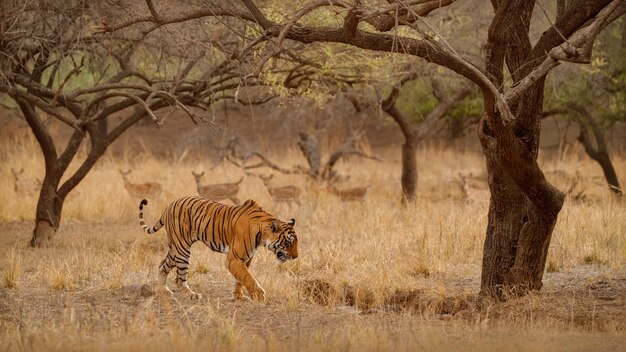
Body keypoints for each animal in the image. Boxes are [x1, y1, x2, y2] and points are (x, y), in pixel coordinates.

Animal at [138, 197, 298, 302]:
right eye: (288, 242)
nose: (296, 256)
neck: (262, 236)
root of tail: (170, 205)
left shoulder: (245, 259)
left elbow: (241, 278)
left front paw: (239, 296)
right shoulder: (234, 259)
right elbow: (248, 277)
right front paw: (259, 295)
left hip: (175, 248)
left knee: (162, 266)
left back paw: (164, 291)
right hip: (182, 249)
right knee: (180, 278)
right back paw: (191, 294)